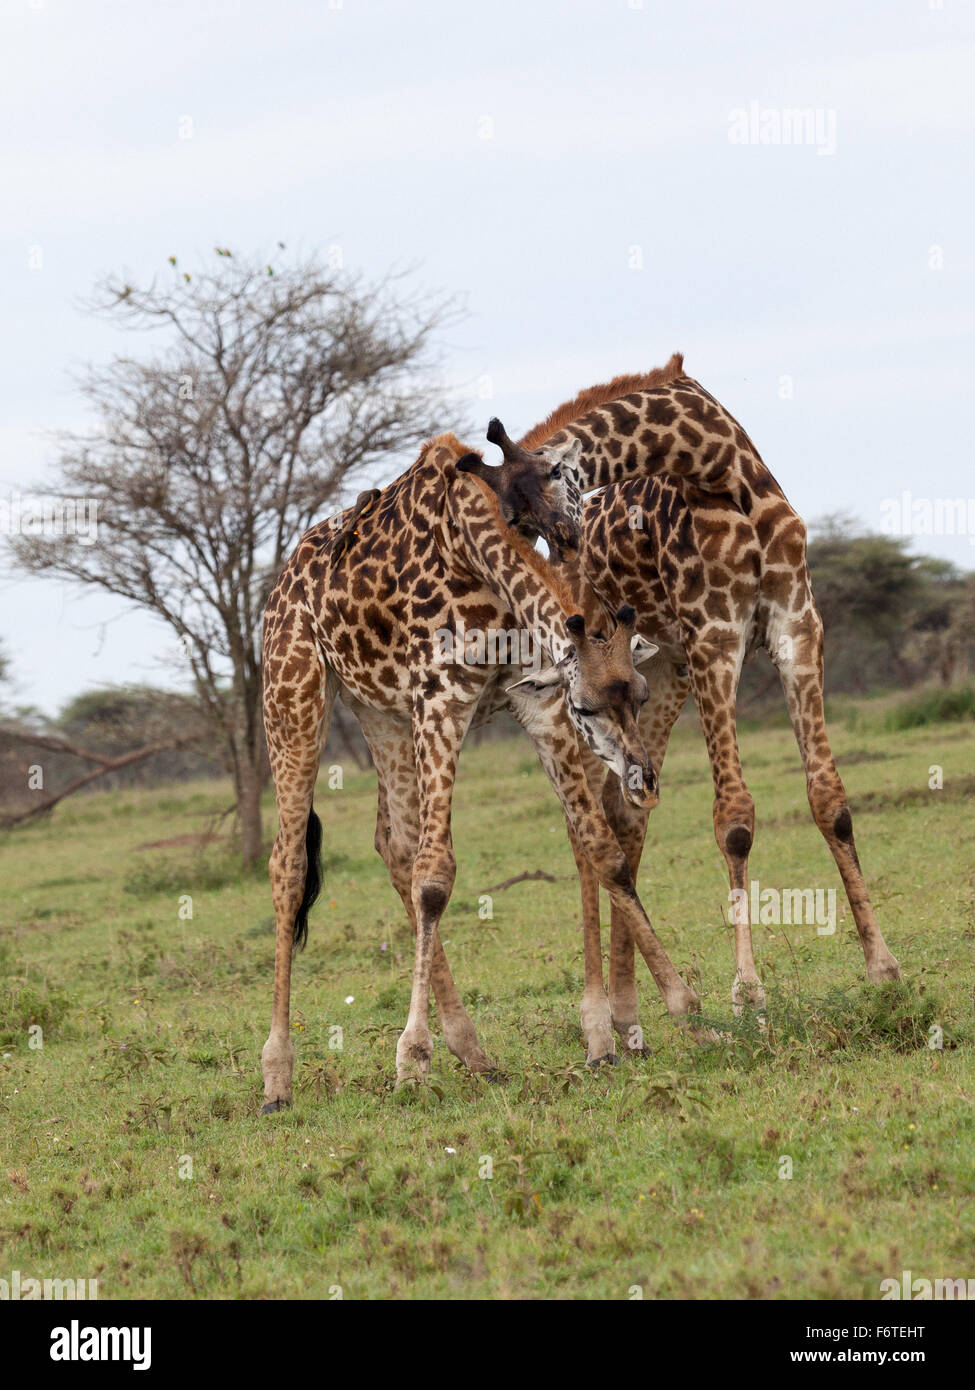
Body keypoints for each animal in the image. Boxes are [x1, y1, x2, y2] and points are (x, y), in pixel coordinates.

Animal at [258, 428, 700, 1112]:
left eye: (641, 693)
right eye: (586, 706)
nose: (644, 782)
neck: (473, 546)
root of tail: (280, 584)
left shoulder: (530, 696)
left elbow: (602, 849)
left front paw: (686, 1010)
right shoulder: (444, 695)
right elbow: (437, 877)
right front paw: (411, 1060)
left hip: (378, 709)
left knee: (394, 844)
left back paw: (476, 1054)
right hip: (294, 693)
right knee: (291, 863)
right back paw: (277, 1076)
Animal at [489, 353, 901, 1045]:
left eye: (528, 506)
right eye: (514, 517)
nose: (564, 552)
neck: (721, 468)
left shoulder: (796, 627)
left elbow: (831, 802)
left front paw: (882, 967)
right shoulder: (715, 637)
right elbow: (734, 820)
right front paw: (748, 993)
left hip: (658, 673)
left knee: (624, 811)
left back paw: (628, 1016)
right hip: (593, 690)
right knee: (584, 826)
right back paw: (597, 1023)